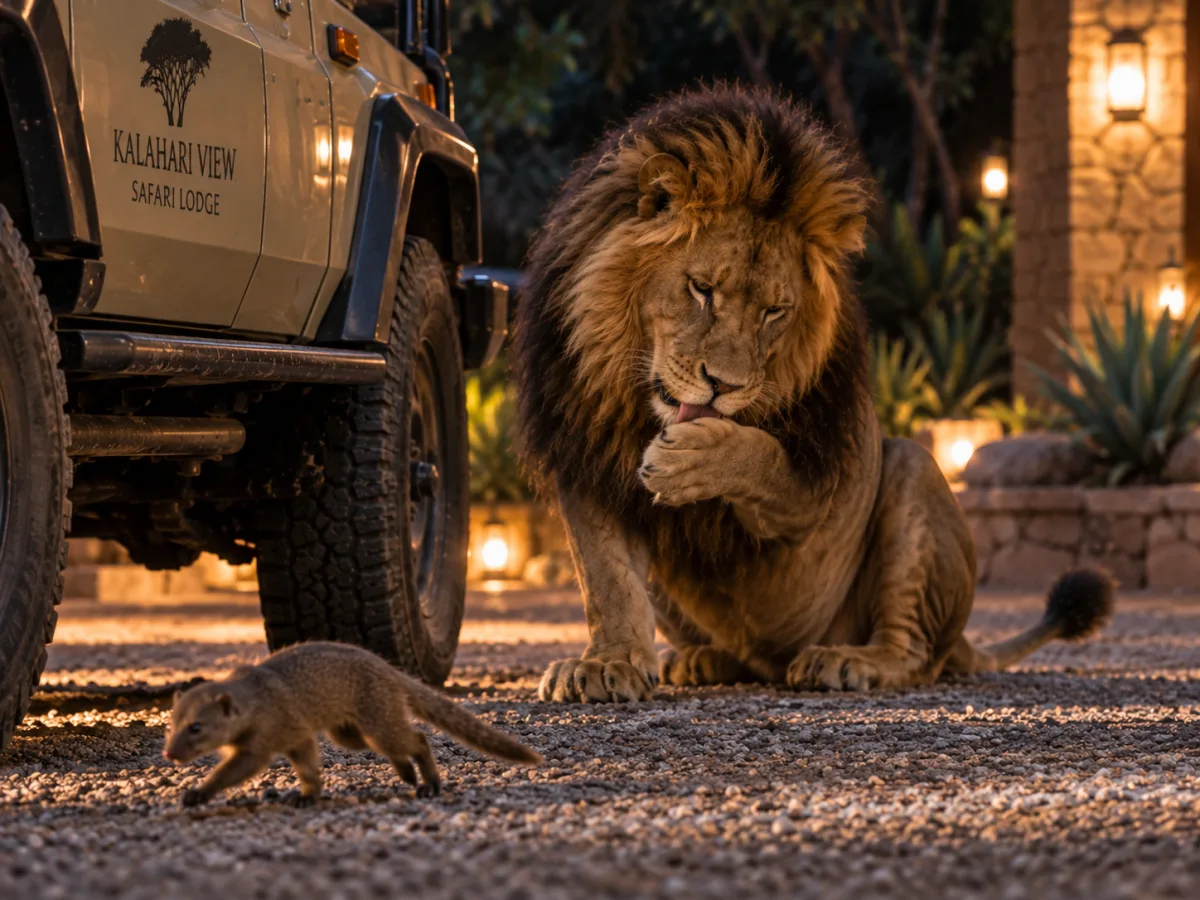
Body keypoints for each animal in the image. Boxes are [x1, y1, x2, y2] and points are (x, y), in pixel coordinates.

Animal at [513, 84, 1113, 702]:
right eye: (701, 289)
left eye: (775, 312)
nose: (723, 385)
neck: (634, 401)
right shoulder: (583, 452)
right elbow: (605, 577)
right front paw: (609, 662)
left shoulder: (815, 490)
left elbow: (760, 455)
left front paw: (695, 458)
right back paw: (702, 660)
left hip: (913, 470)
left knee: (917, 652)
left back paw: (847, 661)